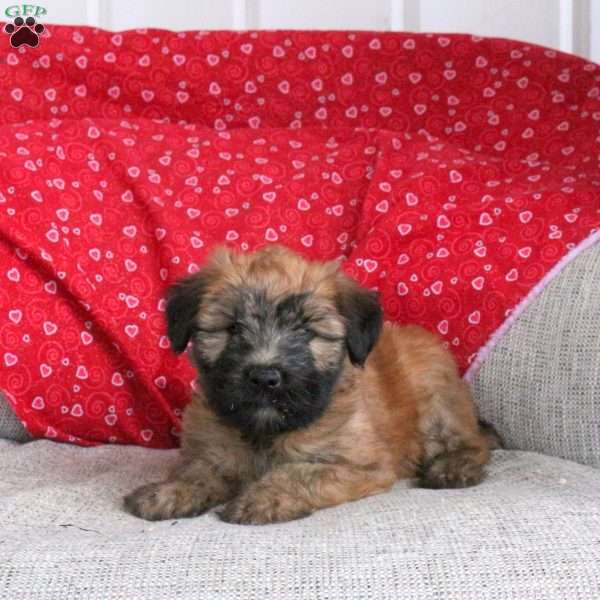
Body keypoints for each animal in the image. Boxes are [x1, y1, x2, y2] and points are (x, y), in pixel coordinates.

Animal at [124, 244, 500, 524]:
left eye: (306, 330)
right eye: (233, 328)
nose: (265, 377)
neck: (265, 434)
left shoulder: (361, 465)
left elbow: (300, 473)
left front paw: (264, 498)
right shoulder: (210, 449)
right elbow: (199, 470)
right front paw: (169, 491)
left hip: (433, 386)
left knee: (473, 442)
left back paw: (453, 467)